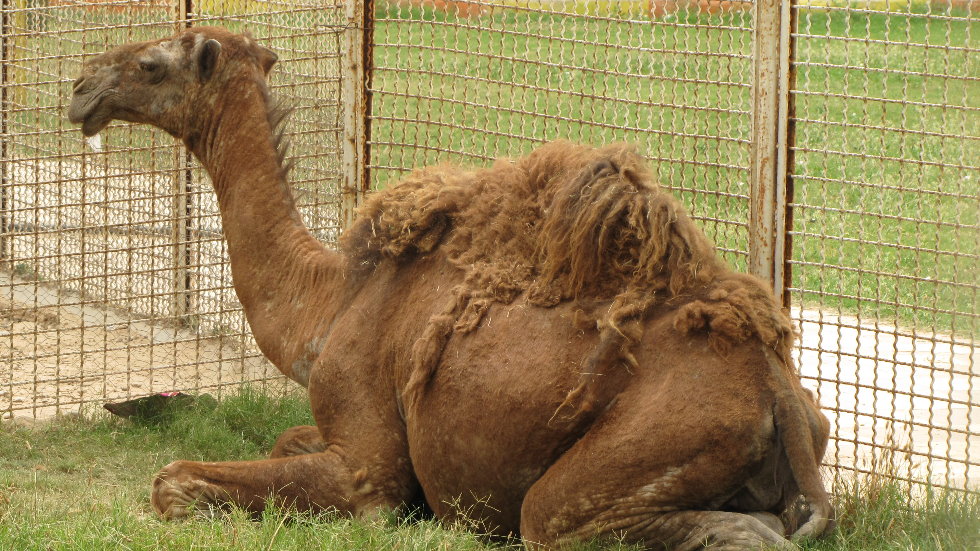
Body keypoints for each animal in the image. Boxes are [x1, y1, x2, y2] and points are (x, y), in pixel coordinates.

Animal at [68, 27, 834, 550]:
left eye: (150, 63)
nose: (81, 85)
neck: (331, 303)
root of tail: (774, 391)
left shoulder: (365, 467)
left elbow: (173, 479)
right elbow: (285, 438)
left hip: (621, 465)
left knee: (576, 520)